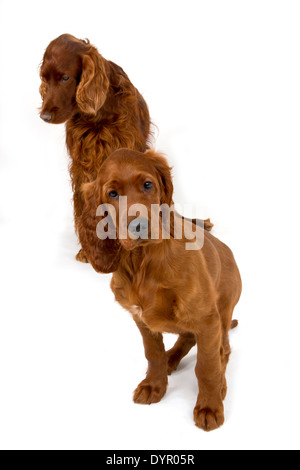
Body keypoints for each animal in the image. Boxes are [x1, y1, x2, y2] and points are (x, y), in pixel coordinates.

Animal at [39, 33, 152, 268]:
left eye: (65, 78)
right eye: (44, 78)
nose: (44, 116)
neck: (99, 115)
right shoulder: (83, 166)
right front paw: (89, 251)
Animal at [78, 149, 241, 432]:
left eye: (147, 184)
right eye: (112, 193)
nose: (140, 226)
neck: (143, 261)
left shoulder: (207, 319)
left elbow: (207, 366)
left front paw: (209, 406)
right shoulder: (140, 318)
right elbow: (152, 353)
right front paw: (154, 385)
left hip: (223, 311)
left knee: (223, 349)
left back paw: (219, 383)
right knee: (186, 338)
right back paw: (170, 359)